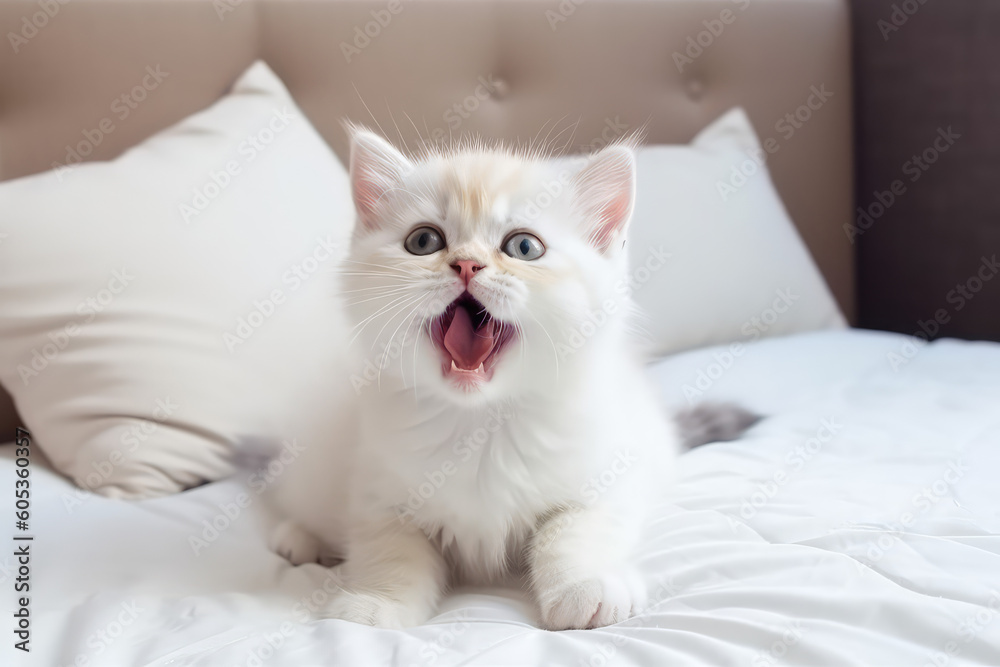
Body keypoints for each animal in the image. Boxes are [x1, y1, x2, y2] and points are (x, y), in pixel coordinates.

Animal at [270, 129, 684, 632]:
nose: (466, 264)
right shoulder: (376, 492)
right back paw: (298, 538)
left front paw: (584, 587)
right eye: (424, 241)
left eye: (524, 247)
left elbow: (575, 530)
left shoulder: (609, 474)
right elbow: (390, 550)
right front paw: (375, 604)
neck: (480, 422)